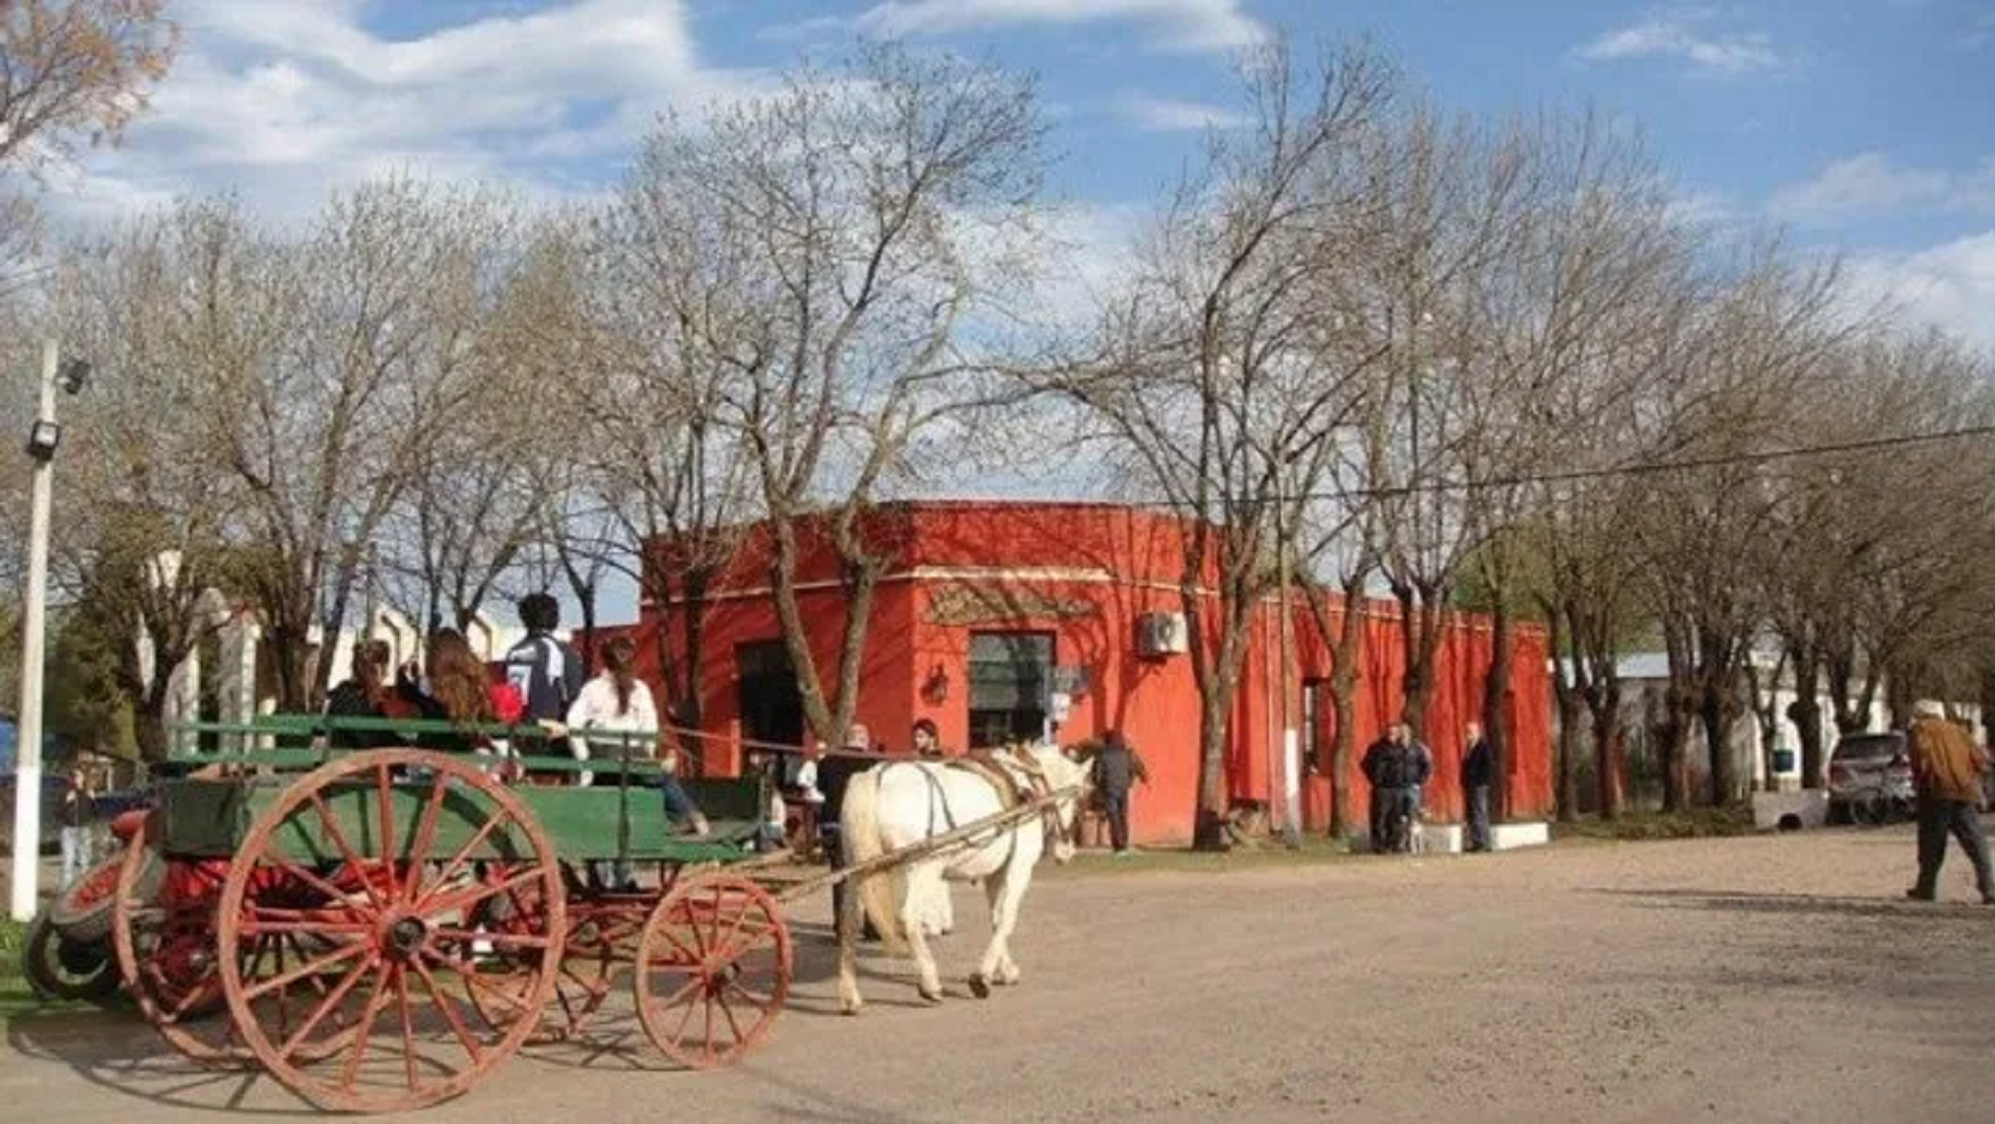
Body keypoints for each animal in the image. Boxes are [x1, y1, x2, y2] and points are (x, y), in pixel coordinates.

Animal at [837, 742, 1101, 1014]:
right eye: (1080, 799)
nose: (1067, 852)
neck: (1031, 786)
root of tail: (877, 777)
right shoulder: (1019, 869)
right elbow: (1007, 919)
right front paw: (982, 977)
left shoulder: (995, 873)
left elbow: (996, 918)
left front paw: (1005, 970)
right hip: (924, 869)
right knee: (908, 918)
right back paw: (931, 983)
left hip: (857, 872)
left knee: (849, 921)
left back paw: (850, 995)